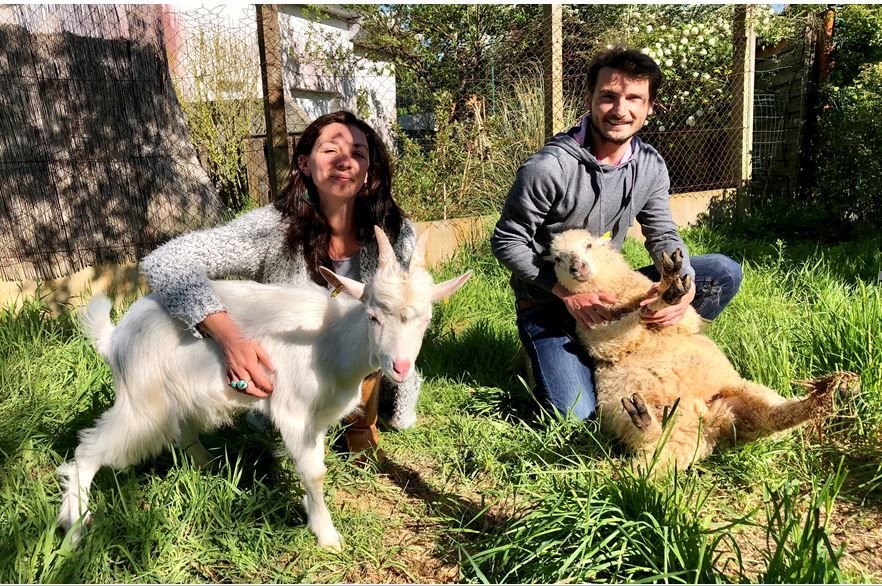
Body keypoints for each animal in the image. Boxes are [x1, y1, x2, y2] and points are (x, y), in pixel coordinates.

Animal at [58, 225, 470, 548]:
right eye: (372, 316)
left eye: (426, 319)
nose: (400, 367)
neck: (331, 341)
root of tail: (116, 337)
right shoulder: (293, 411)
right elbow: (315, 473)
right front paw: (327, 536)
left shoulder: (317, 418)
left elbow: (315, 467)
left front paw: (312, 516)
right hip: (142, 402)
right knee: (89, 449)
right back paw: (74, 529)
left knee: (184, 432)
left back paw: (209, 465)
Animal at [548, 227, 856, 474]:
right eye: (558, 258)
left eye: (588, 245)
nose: (577, 268)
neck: (620, 296)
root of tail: (706, 428)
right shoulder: (596, 334)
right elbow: (629, 327)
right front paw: (661, 298)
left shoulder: (684, 321)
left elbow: (670, 310)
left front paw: (670, 279)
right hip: (619, 411)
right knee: (651, 441)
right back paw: (644, 418)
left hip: (746, 394)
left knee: (770, 419)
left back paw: (829, 395)